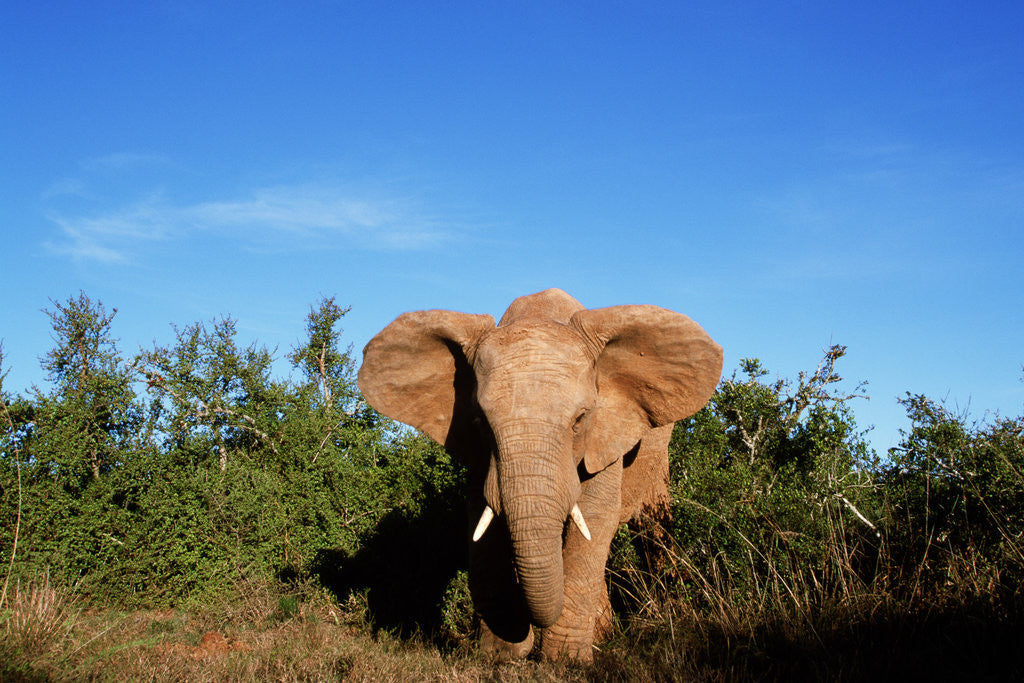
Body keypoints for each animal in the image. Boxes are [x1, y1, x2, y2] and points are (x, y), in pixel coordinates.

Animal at [357, 289, 722, 661]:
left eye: (580, 419)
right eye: (480, 421)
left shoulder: (606, 434)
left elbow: (596, 514)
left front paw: (566, 661)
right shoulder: (479, 451)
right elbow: (481, 519)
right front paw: (502, 656)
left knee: (652, 525)